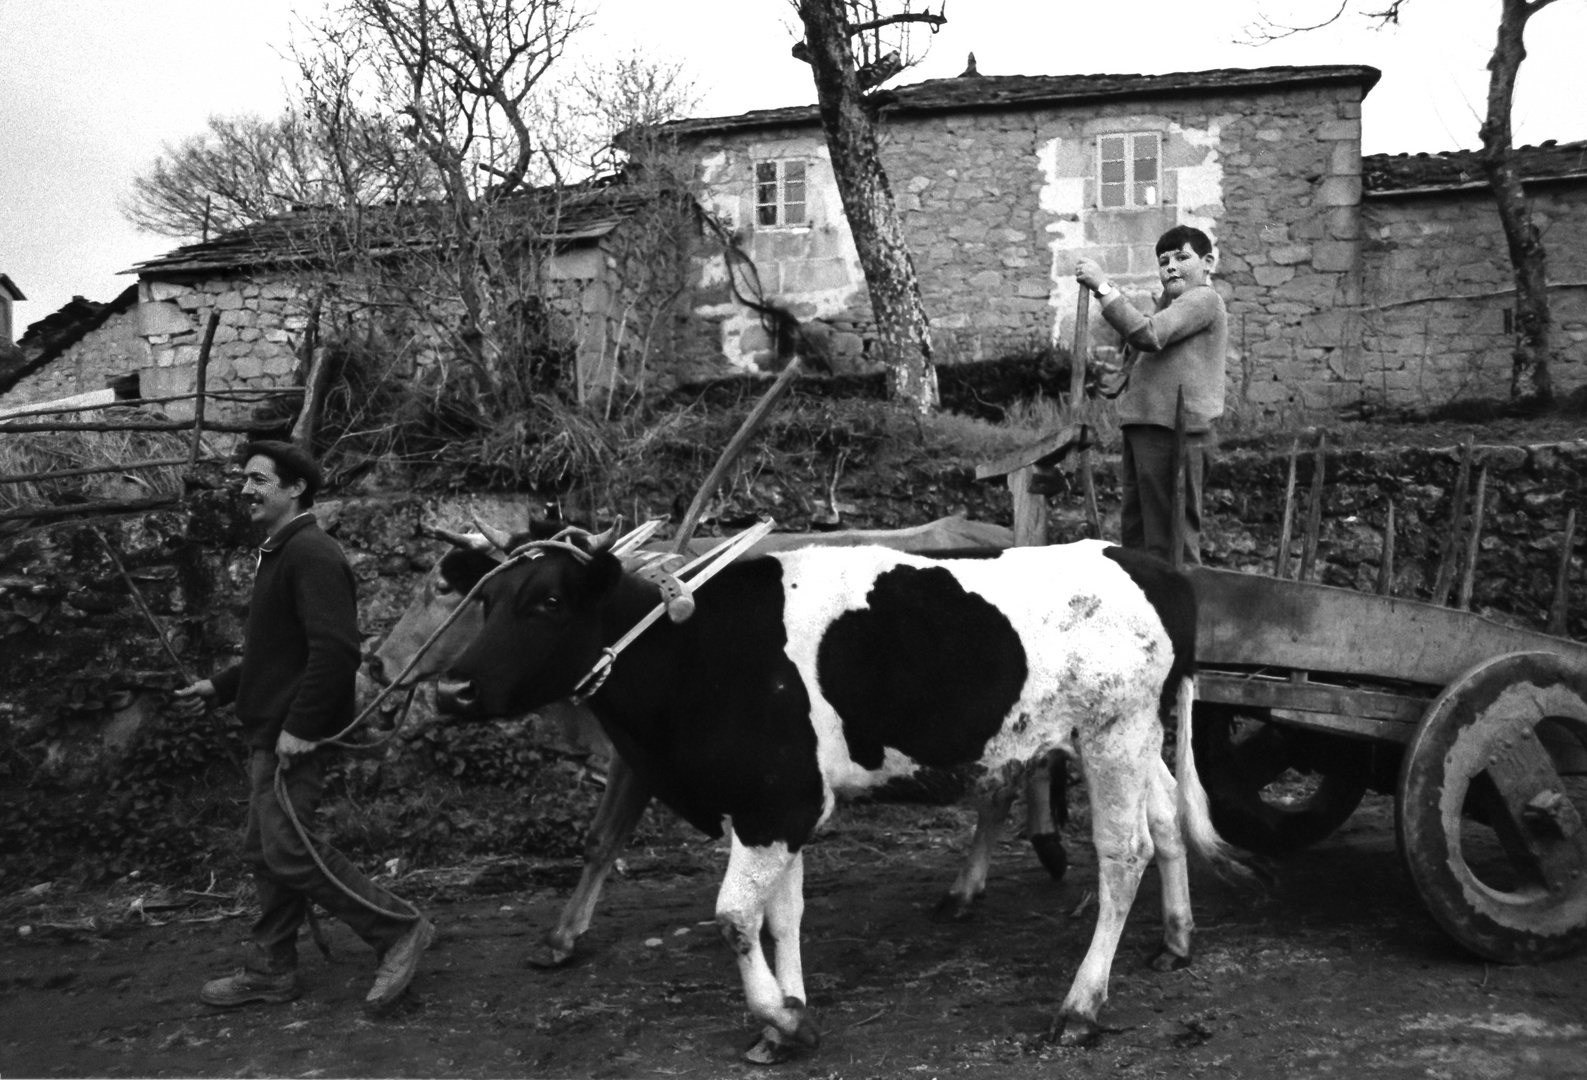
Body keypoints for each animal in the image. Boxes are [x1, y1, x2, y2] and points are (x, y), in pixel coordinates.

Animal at [365, 517, 1072, 964]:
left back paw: (1001, 868)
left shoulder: (636, 760)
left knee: (1010, 784)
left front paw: (563, 936)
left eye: (444, 587)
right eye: (485, 597)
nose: (376, 663)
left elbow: (600, 839)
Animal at [434, 526, 1250, 1059]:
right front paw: (789, 1009)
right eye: (486, 600)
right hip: (1132, 740)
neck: (698, 651)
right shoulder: (777, 805)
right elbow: (782, 914)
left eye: (546, 601)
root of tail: (1151, 564)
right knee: (1166, 820)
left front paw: (782, 1022)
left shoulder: (776, 800)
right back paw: (1176, 938)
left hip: (1112, 732)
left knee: (1123, 854)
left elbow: (735, 917)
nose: (450, 689)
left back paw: (1081, 1005)